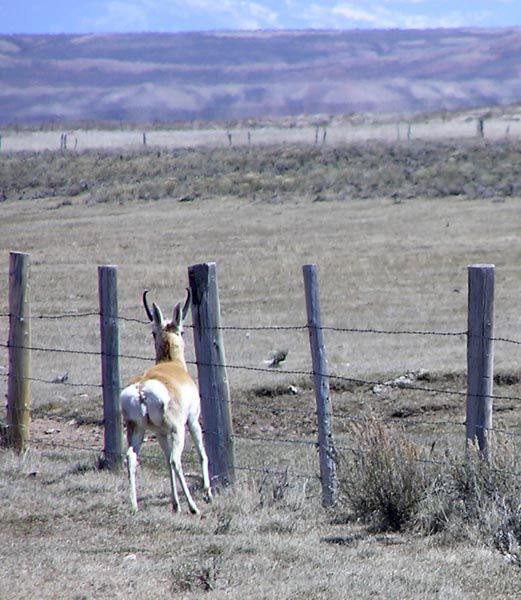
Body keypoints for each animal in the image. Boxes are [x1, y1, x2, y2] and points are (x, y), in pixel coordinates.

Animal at [120, 288, 211, 512]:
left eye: (154, 332)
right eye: (183, 331)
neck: (171, 364)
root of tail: (141, 389)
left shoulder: (160, 433)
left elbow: (164, 459)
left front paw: (175, 503)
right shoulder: (193, 421)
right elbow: (201, 453)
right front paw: (208, 493)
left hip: (137, 429)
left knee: (132, 457)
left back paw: (134, 506)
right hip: (178, 430)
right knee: (175, 460)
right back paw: (193, 507)